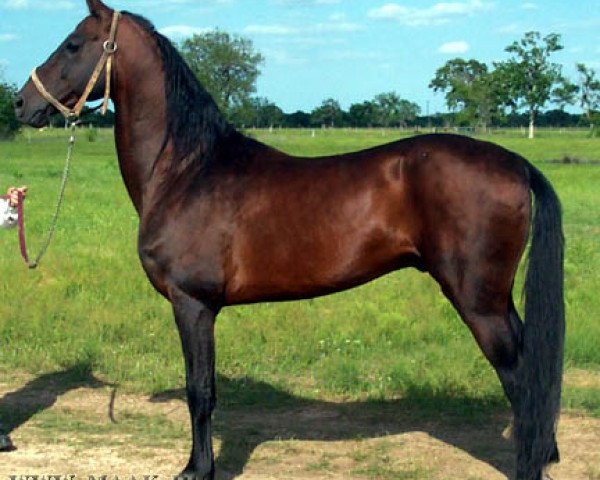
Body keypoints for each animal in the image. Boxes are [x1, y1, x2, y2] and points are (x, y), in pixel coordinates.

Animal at [15, 1, 568, 478]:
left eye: (72, 44)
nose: (21, 103)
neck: (187, 171)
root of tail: (515, 162)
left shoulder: (193, 304)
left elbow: (201, 391)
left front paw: (198, 468)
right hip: (496, 300)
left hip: (479, 302)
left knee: (522, 381)